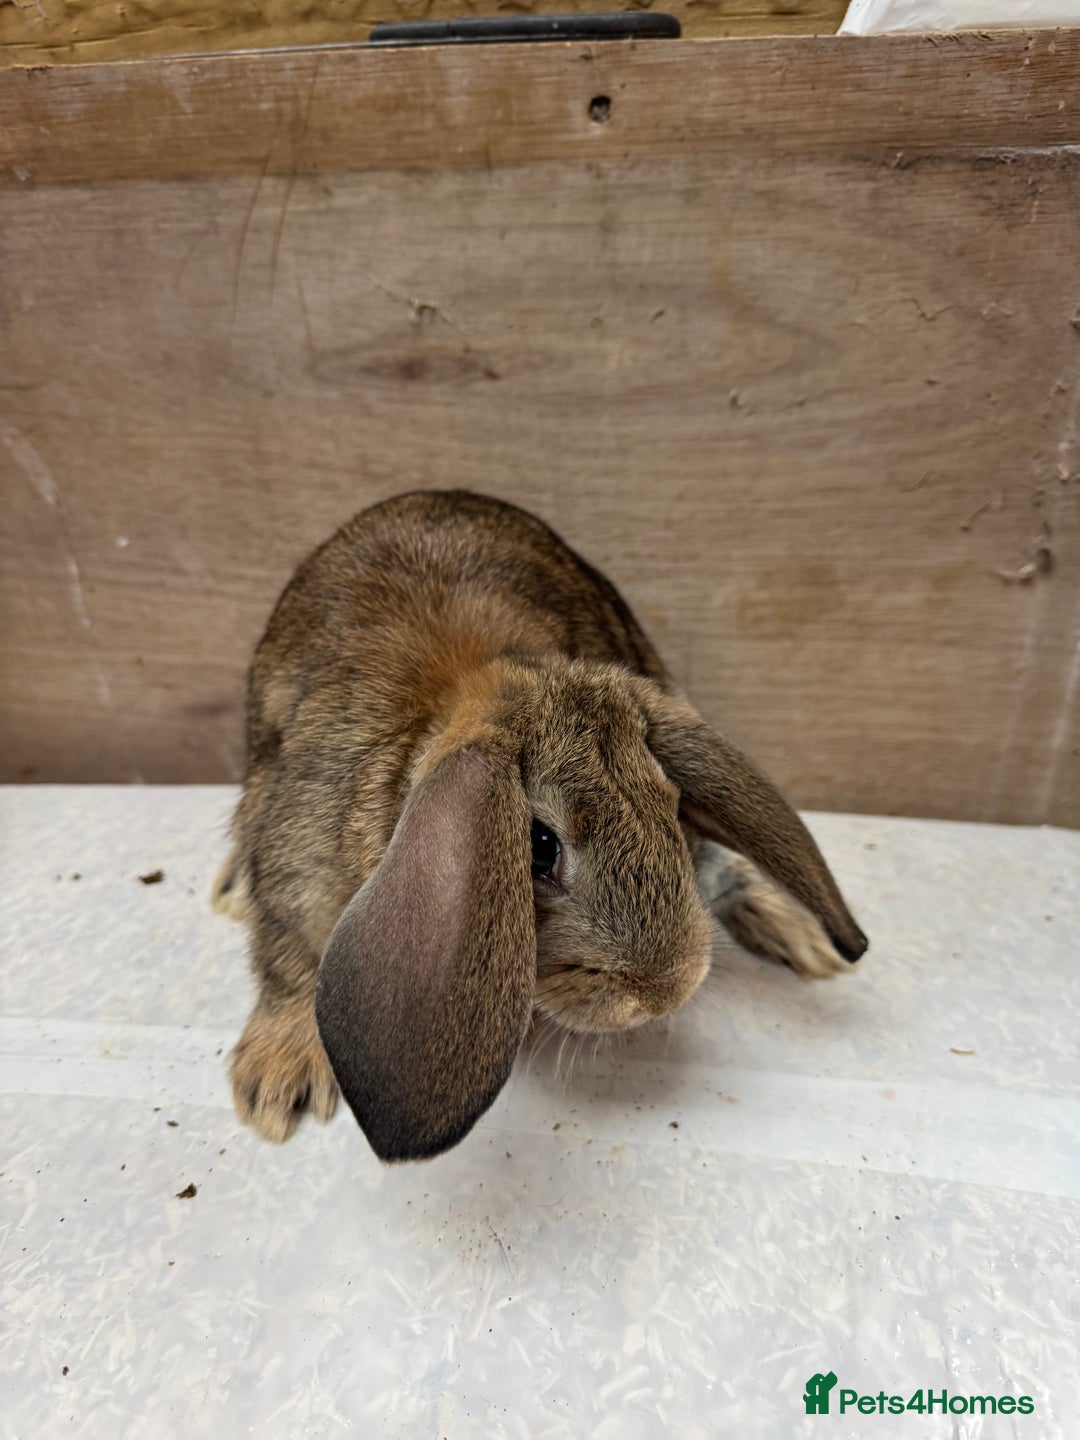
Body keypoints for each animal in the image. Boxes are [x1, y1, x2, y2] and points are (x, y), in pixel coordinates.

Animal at [214, 489, 867, 1162]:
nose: (665, 990)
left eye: (672, 804)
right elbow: (290, 961)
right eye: (540, 847)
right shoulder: (294, 867)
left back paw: (803, 936)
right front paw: (278, 1085)